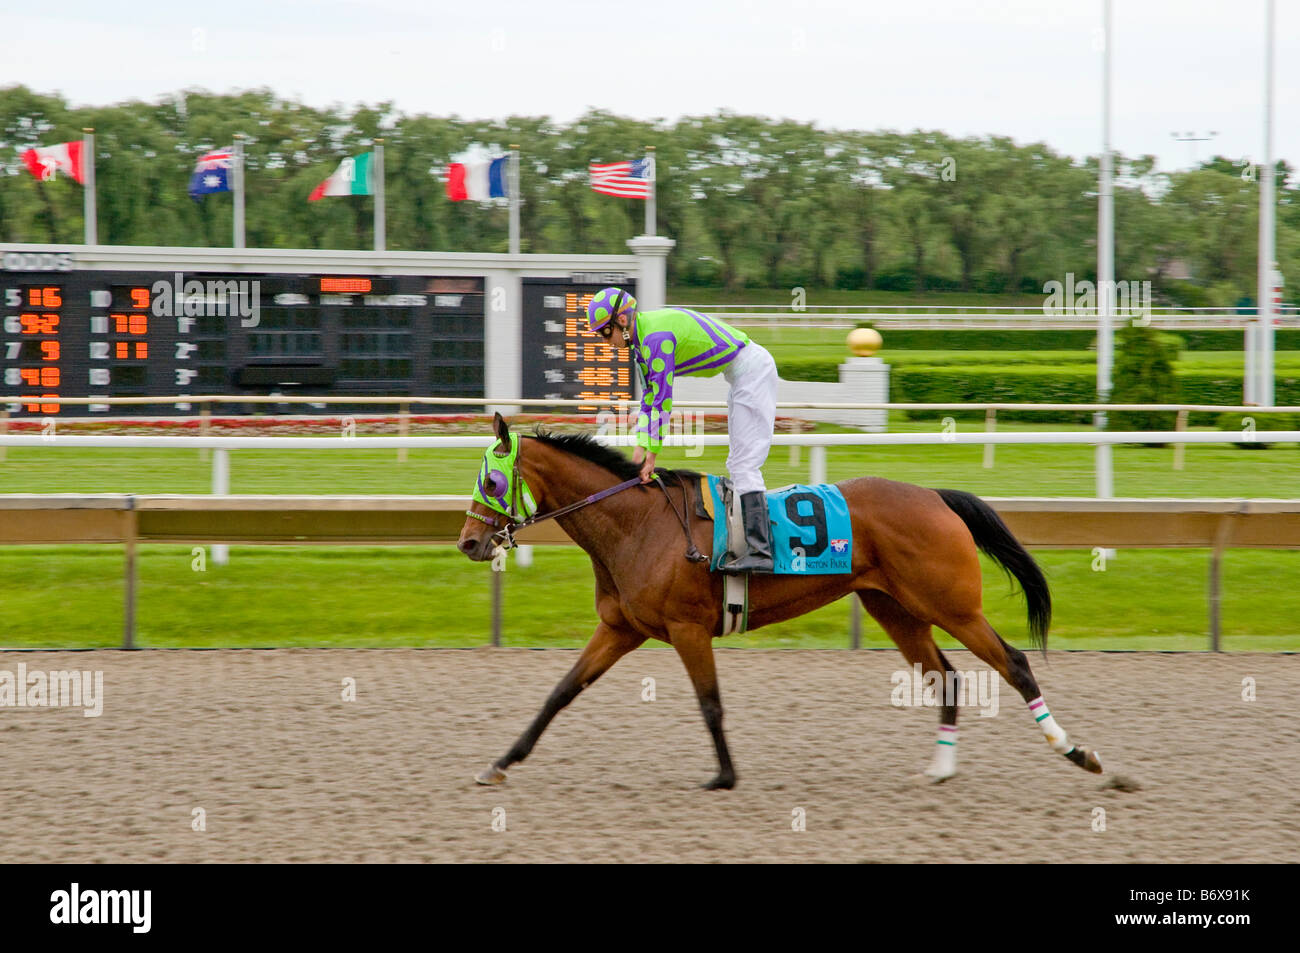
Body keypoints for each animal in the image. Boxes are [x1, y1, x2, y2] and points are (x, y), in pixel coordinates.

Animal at [457, 413, 1097, 785]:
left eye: (491, 480)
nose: (467, 541)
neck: (638, 525)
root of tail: (936, 496)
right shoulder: (622, 629)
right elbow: (561, 692)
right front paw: (502, 762)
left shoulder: (687, 629)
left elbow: (710, 704)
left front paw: (724, 775)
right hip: (895, 608)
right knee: (946, 676)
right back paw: (940, 767)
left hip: (952, 606)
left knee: (1013, 662)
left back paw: (1077, 752)